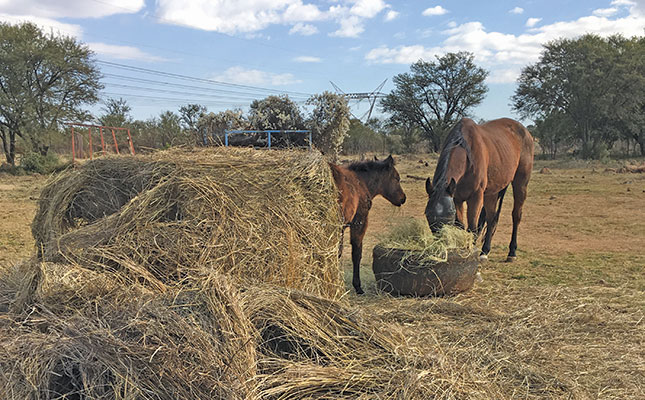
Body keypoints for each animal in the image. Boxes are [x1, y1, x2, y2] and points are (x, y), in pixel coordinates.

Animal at [330, 155, 406, 294]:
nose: (403, 198)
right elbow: (356, 253)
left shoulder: (341, 228)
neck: (361, 183)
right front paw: (357, 286)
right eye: (396, 178)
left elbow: (338, 252)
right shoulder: (359, 222)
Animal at [422, 118, 532, 262]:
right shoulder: (456, 198)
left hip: (520, 183)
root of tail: (525, 132)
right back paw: (485, 251)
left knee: (516, 216)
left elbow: (472, 228)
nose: (440, 245)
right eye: (428, 214)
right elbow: (461, 226)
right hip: (492, 192)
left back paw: (512, 252)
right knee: (491, 218)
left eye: (448, 215)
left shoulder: (475, 197)